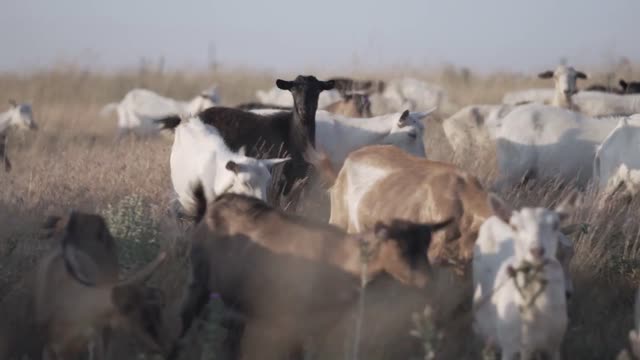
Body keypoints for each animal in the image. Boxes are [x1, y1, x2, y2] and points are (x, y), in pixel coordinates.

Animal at [472, 193, 576, 358]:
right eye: (515, 226)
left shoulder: (554, 346)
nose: (537, 251)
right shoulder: (509, 348)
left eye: (556, 225)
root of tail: (493, 218)